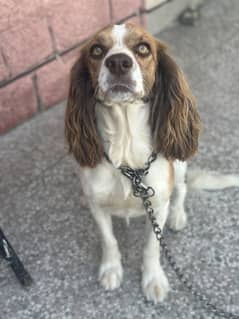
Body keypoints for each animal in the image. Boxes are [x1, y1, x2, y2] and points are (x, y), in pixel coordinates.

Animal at [64, 23, 239, 304]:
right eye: (97, 50)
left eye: (143, 48)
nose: (118, 62)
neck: (126, 151)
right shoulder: (98, 207)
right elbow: (108, 240)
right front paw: (111, 269)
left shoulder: (157, 206)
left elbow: (152, 246)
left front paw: (153, 280)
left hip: (178, 166)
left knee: (182, 189)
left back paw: (178, 215)